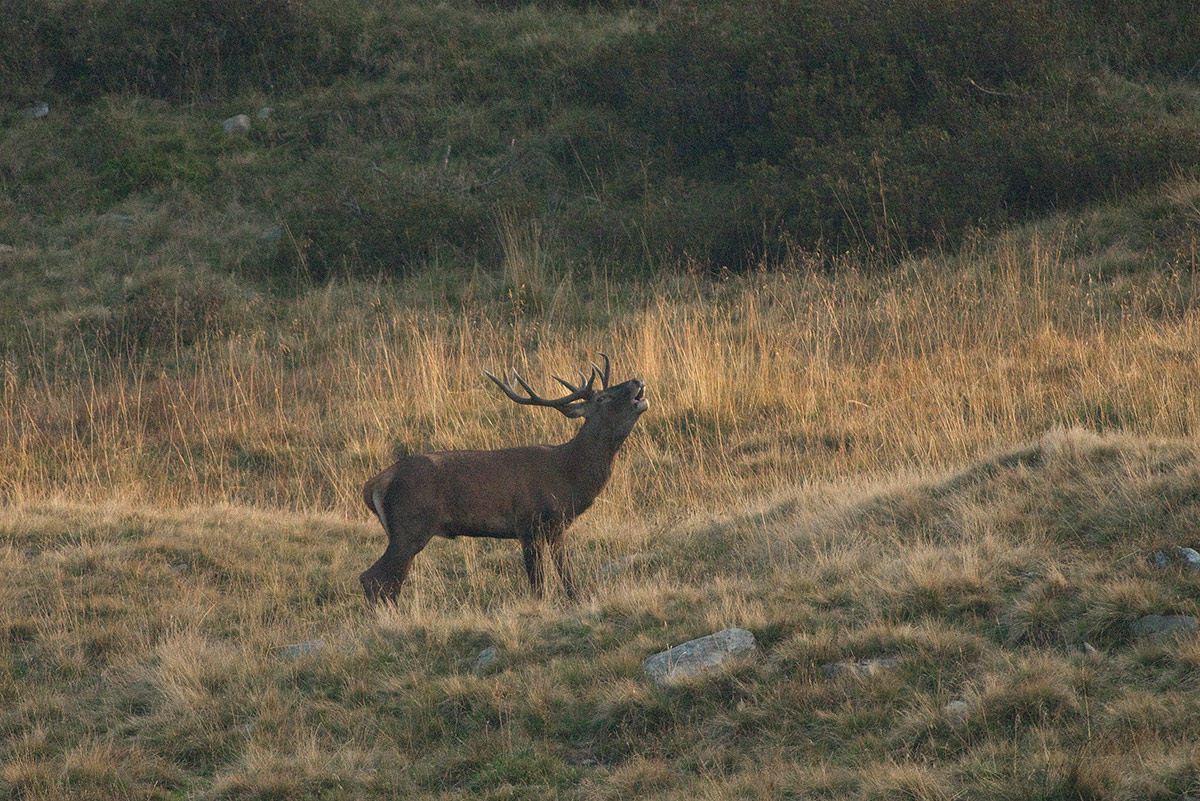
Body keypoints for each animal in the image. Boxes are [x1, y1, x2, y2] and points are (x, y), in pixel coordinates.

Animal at [359, 354, 648, 605]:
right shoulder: (528, 523)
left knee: (388, 581)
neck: (568, 478)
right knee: (373, 578)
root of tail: (373, 484)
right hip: (410, 527)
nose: (636, 380)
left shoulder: (557, 527)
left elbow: (567, 575)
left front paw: (576, 601)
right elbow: (537, 582)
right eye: (602, 397)